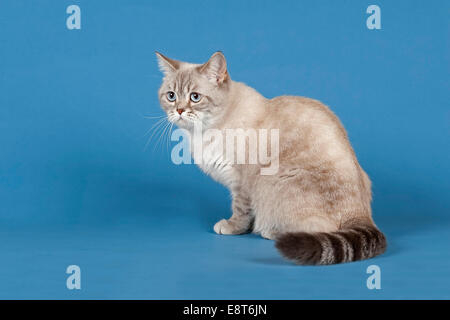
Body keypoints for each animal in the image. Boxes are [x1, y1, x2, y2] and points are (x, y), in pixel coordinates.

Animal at [156, 50, 384, 264]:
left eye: (195, 97)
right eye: (171, 96)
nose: (179, 110)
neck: (204, 131)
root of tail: (360, 213)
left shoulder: (242, 182)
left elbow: (240, 210)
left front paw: (232, 227)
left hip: (275, 181)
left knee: (319, 229)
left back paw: (271, 231)